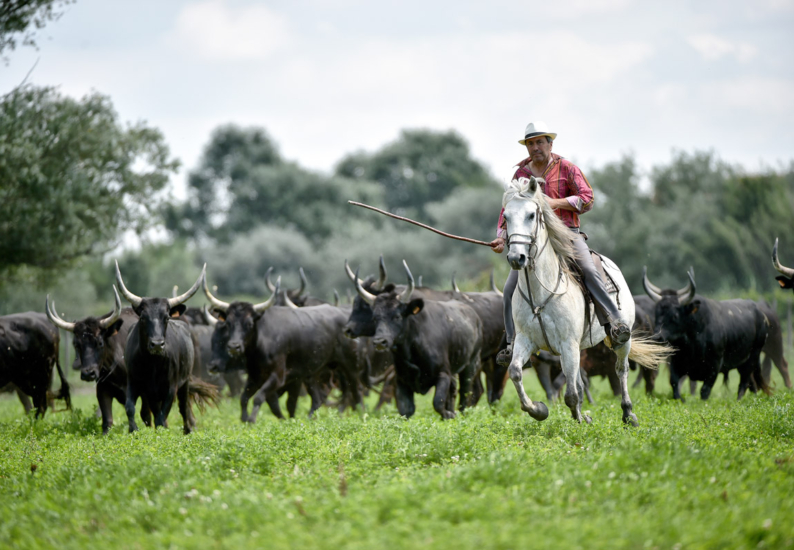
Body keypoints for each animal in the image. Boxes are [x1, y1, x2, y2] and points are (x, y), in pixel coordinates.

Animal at [502, 177, 668, 426]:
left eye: (531, 215)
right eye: (506, 217)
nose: (516, 258)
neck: (541, 293)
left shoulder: (568, 344)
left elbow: (571, 394)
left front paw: (580, 420)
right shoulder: (526, 340)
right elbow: (515, 372)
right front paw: (538, 409)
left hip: (622, 340)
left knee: (621, 371)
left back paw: (628, 413)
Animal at [644, 270, 768, 402]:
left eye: (675, 315)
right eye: (656, 313)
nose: (657, 337)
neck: (693, 343)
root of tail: (762, 315)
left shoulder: (714, 365)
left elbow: (705, 390)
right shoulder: (676, 362)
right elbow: (674, 383)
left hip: (753, 355)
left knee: (744, 382)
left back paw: (738, 401)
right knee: (751, 382)